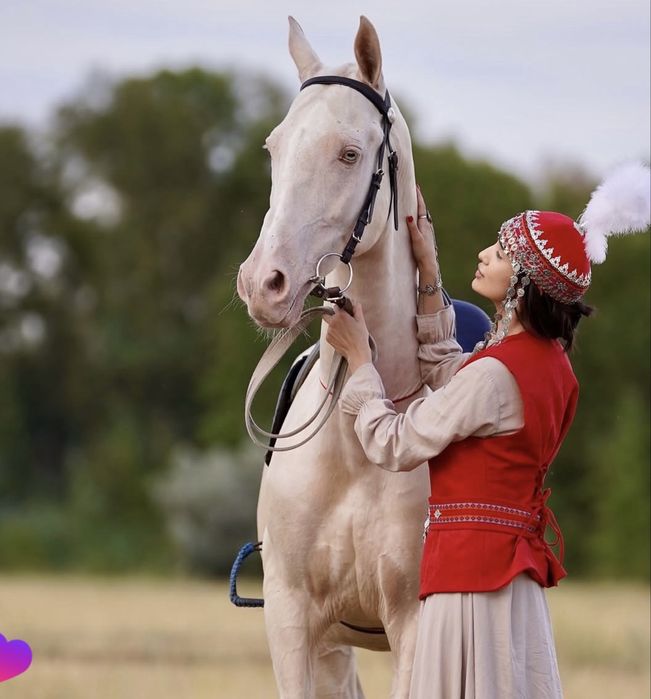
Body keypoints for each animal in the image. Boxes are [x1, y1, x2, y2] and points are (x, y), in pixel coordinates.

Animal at [237, 16, 430, 698]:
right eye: (274, 148)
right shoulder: (292, 621)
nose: (262, 283)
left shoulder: (413, 623)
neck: (355, 442)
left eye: (349, 153)